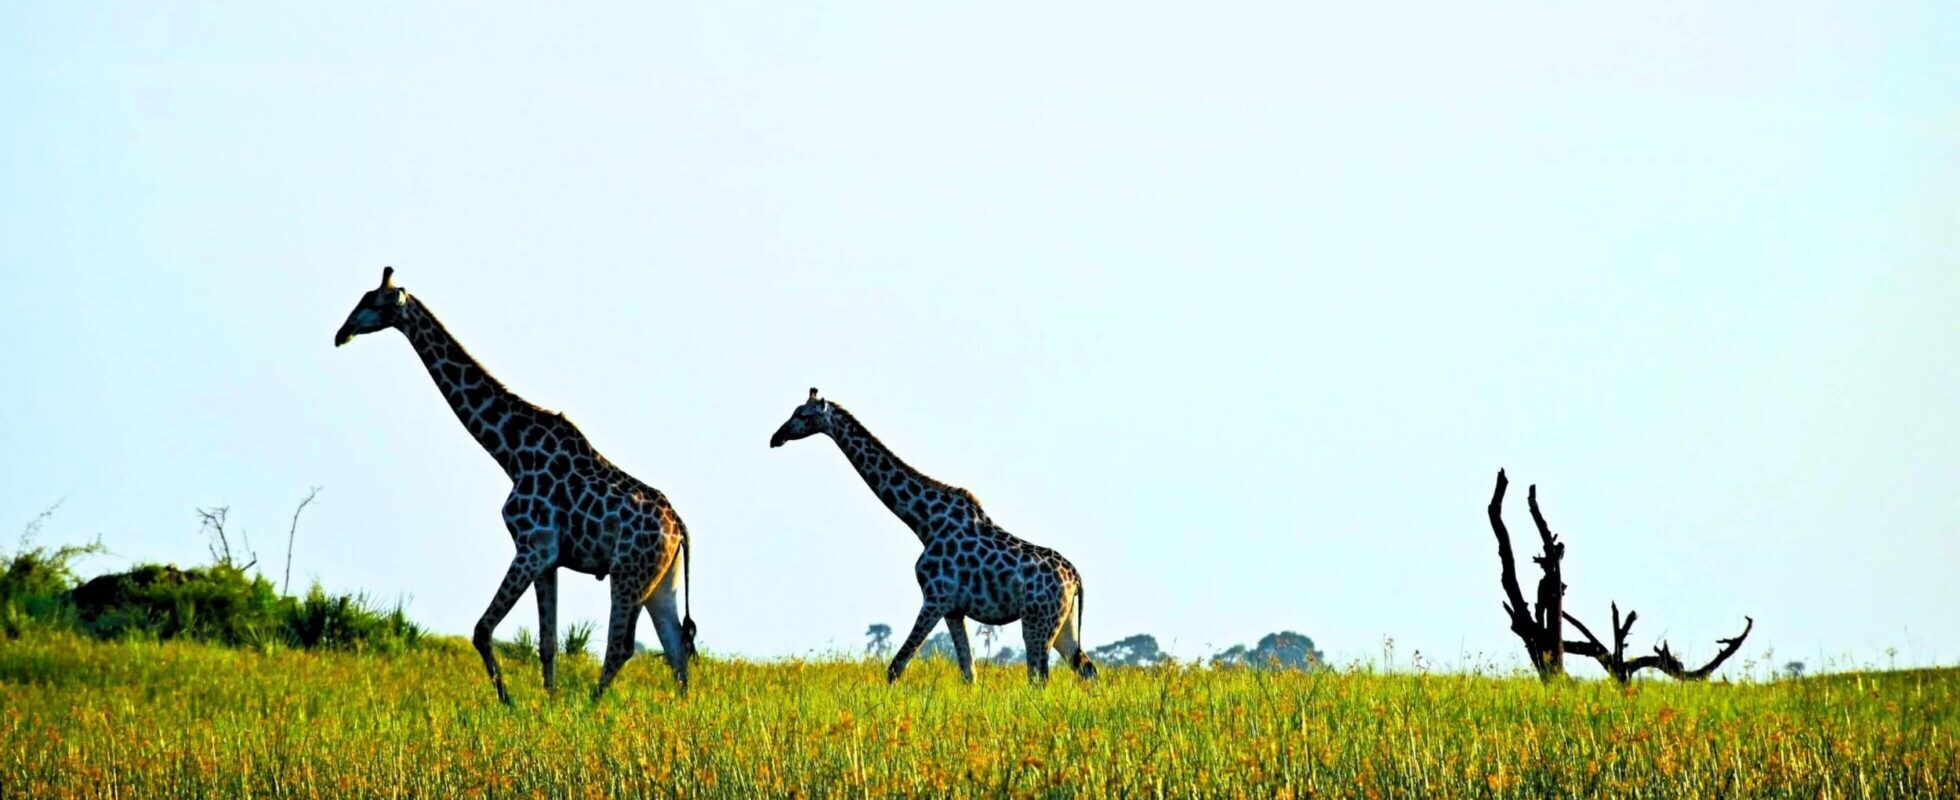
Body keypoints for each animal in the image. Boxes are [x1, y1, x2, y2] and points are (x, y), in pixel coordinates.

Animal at [334, 267, 695, 703]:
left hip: (627, 573)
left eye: (373, 301)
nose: (341, 333)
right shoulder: (549, 557)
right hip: (661, 580)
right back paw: (680, 710)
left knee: (623, 646)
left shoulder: (532, 546)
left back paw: (590, 707)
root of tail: (680, 529)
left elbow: (482, 629)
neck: (510, 451)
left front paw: (510, 702)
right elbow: (548, 642)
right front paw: (549, 704)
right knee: (675, 644)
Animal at [770, 389, 1097, 684]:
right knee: (1086, 668)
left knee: (1039, 676)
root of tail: (1076, 578)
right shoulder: (954, 609)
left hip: (1037, 620)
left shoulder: (935, 597)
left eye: (802, 415)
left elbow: (896, 667)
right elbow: (968, 673)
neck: (924, 522)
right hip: (1062, 623)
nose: (776, 437)